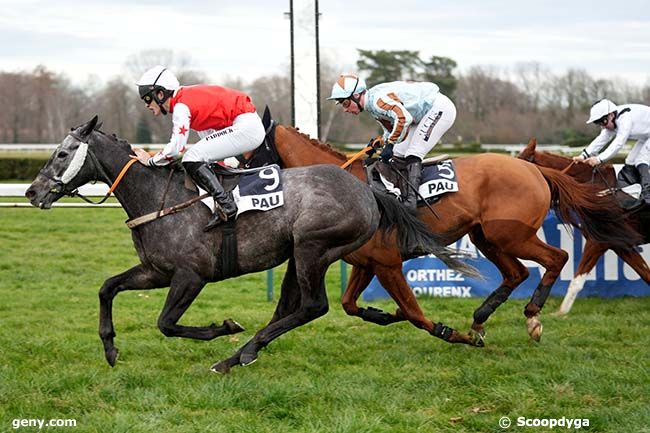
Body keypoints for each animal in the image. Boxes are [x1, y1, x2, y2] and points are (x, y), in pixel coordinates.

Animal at [24, 116, 460, 372]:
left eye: (62, 153)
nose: (32, 192)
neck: (158, 198)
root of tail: (368, 191)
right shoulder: (156, 271)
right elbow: (107, 288)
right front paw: (110, 348)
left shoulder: (191, 275)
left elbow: (167, 324)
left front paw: (223, 327)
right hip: (298, 256)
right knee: (293, 307)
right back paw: (241, 354)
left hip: (313, 248)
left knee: (313, 306)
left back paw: (240, 352)